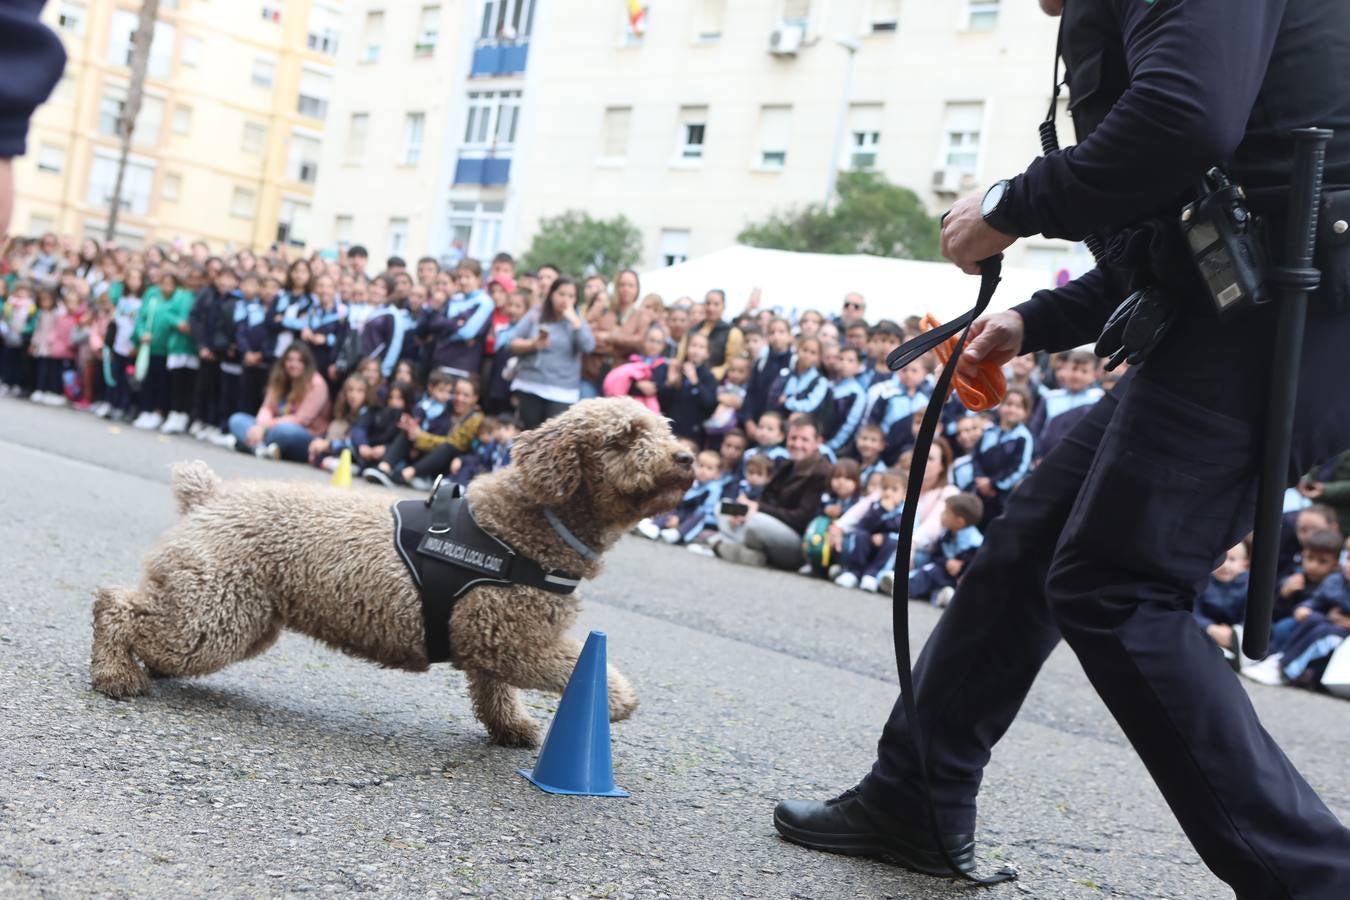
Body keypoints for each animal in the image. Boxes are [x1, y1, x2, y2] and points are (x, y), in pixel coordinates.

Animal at [89, 399, 696, 744]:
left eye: (664, 429)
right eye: (624, 436)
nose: (687, 457)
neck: (524, 524)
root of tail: (209, 494)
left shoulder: (490, 635)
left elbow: (494, 694)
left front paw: (516, 730)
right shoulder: (517, 638)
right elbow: (579, 673)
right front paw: (616, 703)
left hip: (238, 613)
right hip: (217, 614)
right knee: (114, 604)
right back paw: (116, 674)